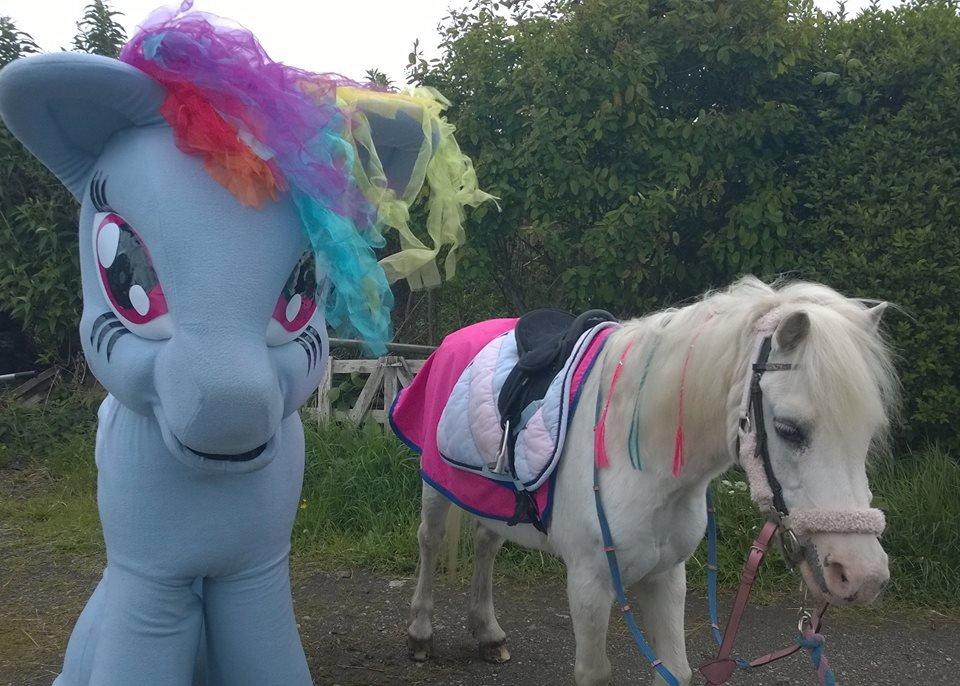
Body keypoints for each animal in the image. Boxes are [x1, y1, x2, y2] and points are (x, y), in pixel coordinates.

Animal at [403, 276, 897, 685]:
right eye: (790, 429)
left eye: (868, 434)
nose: (863, 575)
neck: (646, 467)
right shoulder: (589, 584)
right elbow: (593, 672)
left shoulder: (667, 575)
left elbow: (675, 669)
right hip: (434, 483)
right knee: (429, 539)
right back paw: (420, 634)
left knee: (486, 542)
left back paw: (488, 634)